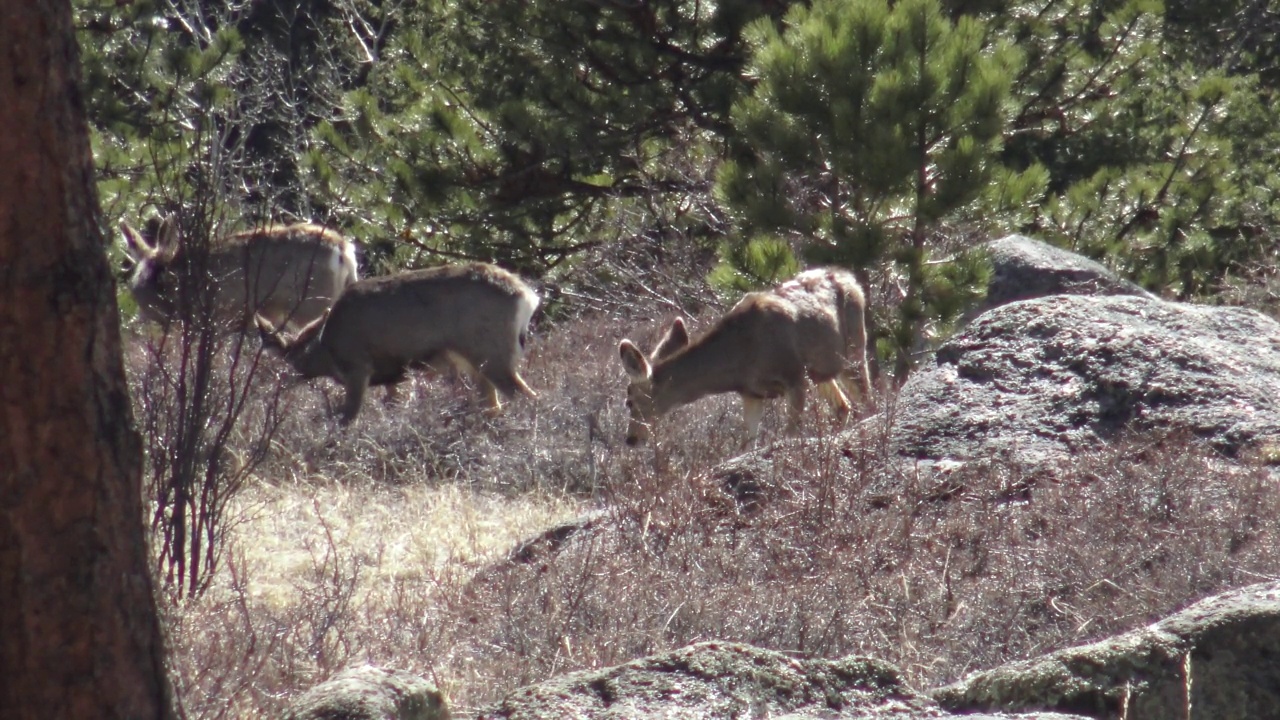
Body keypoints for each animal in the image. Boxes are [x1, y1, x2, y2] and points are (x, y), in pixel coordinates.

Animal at [259, 262, 540, 420]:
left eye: (292, 359)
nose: (283, 383)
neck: (328, 346)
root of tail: (527, 297)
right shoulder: (393, 374)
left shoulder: (359, 365)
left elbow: (348, 416)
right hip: (478, 363)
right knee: (494, 406)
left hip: (492, 354)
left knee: (527, 398)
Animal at [616, 266, 875, 443]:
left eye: (630, 401)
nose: (631, 439)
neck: (740, 359)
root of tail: (851, 279)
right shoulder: (752, 393)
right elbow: (747, 444)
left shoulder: (793, 375)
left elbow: (789, 434)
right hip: (820, 371)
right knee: (843, 407)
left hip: (854, 350)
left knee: (868, 402)